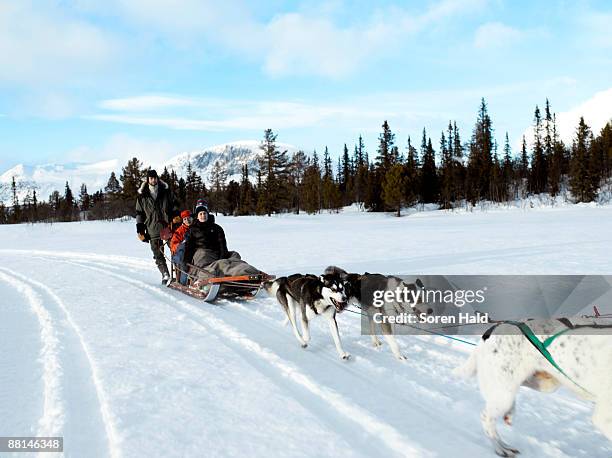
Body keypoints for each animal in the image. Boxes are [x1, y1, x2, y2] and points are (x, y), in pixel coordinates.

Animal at [454, 318, 612, 458]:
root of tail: (493, 329)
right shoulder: (603, 418)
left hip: (541, 384)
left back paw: (510, 414)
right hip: (504, 393)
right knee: (487, 418)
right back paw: (501, 448)